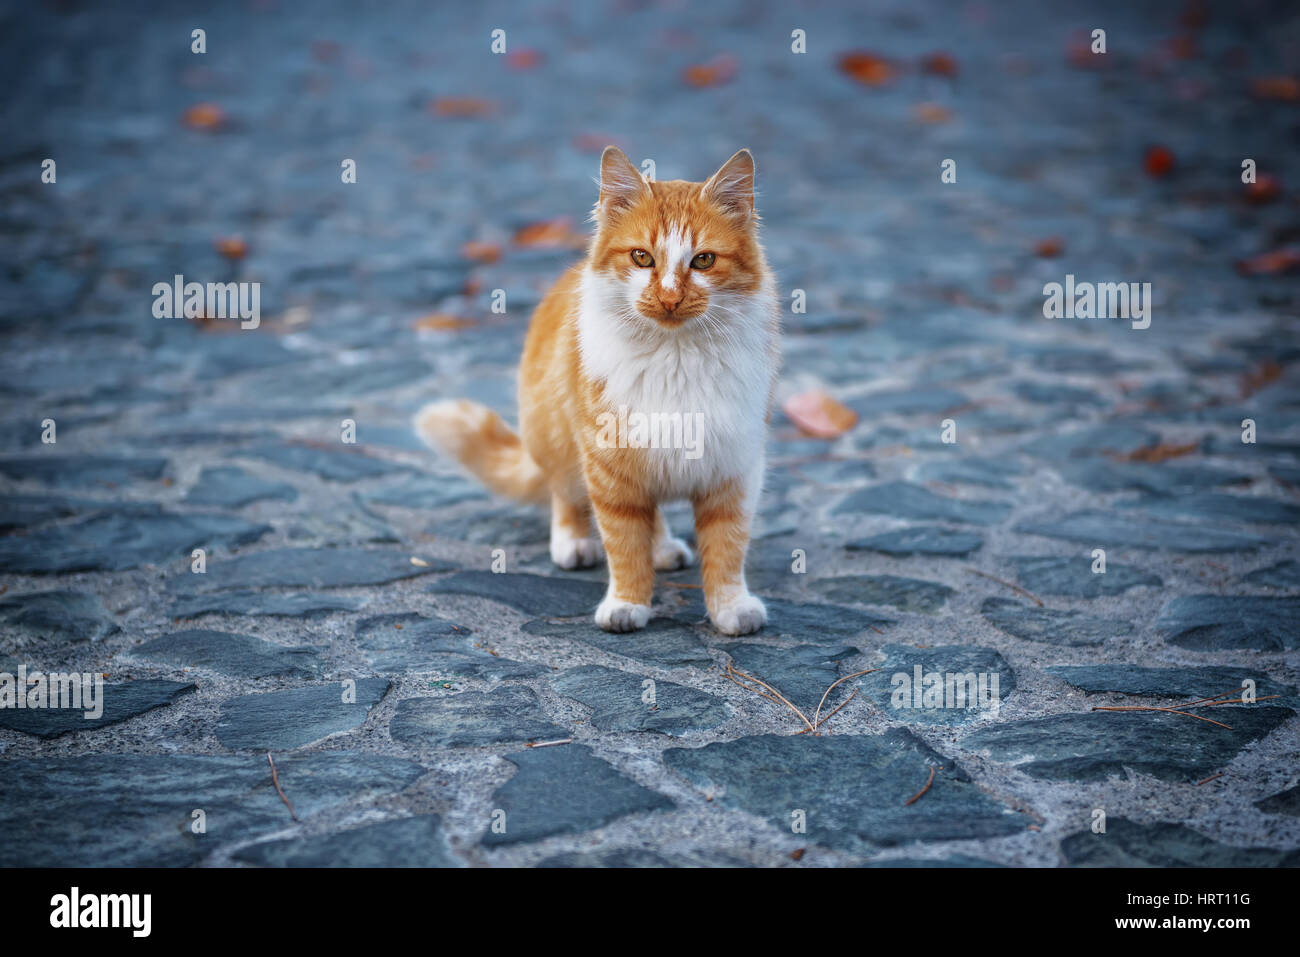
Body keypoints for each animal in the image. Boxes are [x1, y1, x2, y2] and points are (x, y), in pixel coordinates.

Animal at [421, 147, 774, 634]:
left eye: (703, 261)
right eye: (642, 258)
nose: (669, 298)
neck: (675, 355)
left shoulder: (734, 471)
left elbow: (727, 549)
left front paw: (730, 607)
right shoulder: (610, 468)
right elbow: (624, 545)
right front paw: (627, 603)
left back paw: (664, 549)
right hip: (559, 442)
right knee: (566, 498)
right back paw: (574, 543)